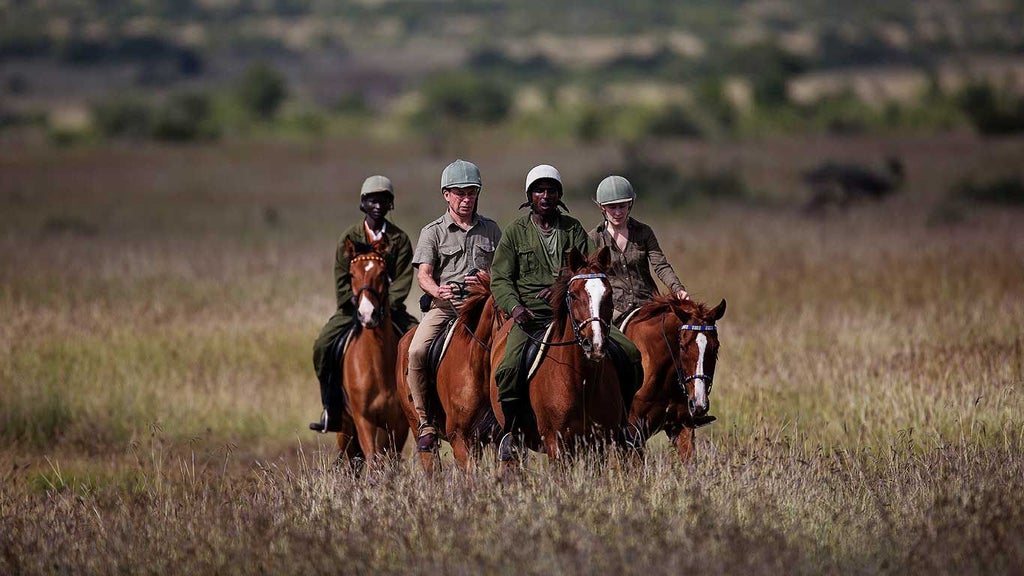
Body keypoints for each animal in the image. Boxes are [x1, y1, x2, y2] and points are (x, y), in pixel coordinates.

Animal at [339, 235, 411, 463]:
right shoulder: (364, 420)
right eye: (352, 274)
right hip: (345, 427)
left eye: (381, 273)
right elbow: (372, 459)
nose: (367, 314)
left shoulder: (398, 424)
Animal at [487, 243, 622, 463]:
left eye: (609, 295)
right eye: (573, 295)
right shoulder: (556, 444)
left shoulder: (598, 443)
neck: (581, 381)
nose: (595, 344)